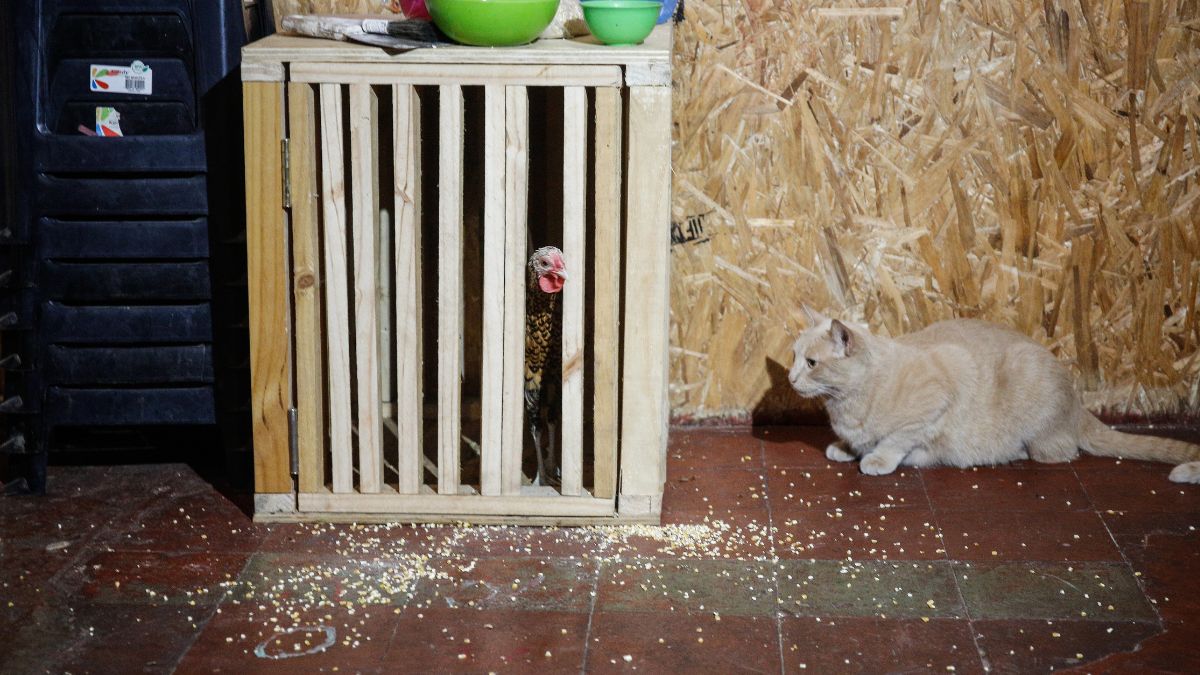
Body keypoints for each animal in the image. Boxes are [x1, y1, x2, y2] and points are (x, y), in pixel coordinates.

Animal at [787, 302, 1200, 480]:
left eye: (811, 363)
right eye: (792, 357)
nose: (790, 378)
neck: (846, 404)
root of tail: (1078, 405)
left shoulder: (939, 392)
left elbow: (897, 439)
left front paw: (876, 458)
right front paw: (846, 448)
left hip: (1031, 395)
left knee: (1060, 453)